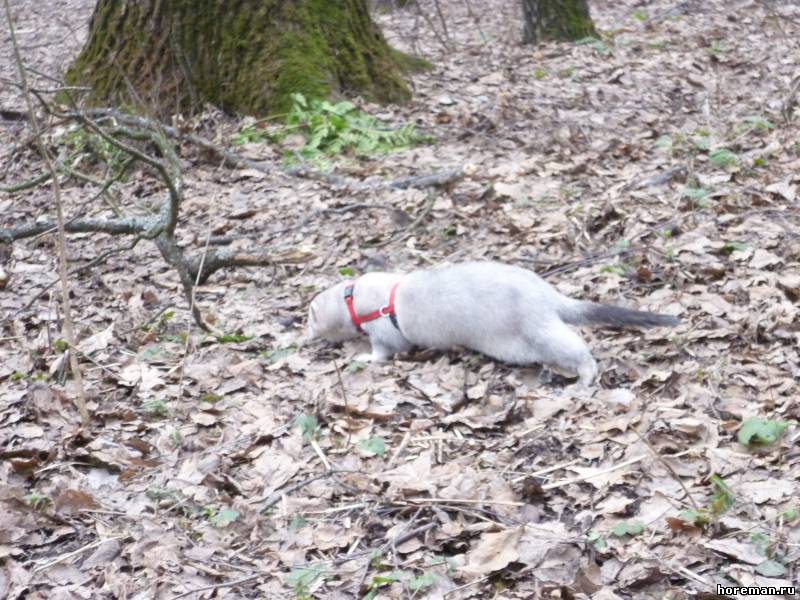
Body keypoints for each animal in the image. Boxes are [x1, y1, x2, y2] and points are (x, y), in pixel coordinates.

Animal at [306, 262, 679, 385]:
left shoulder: (384, 330)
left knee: (574, 349)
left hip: (533, 329)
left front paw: (361, 356)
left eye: (308, 322)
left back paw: (583, 379)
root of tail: (547, 294)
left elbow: (386, 350)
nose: (304, 333)